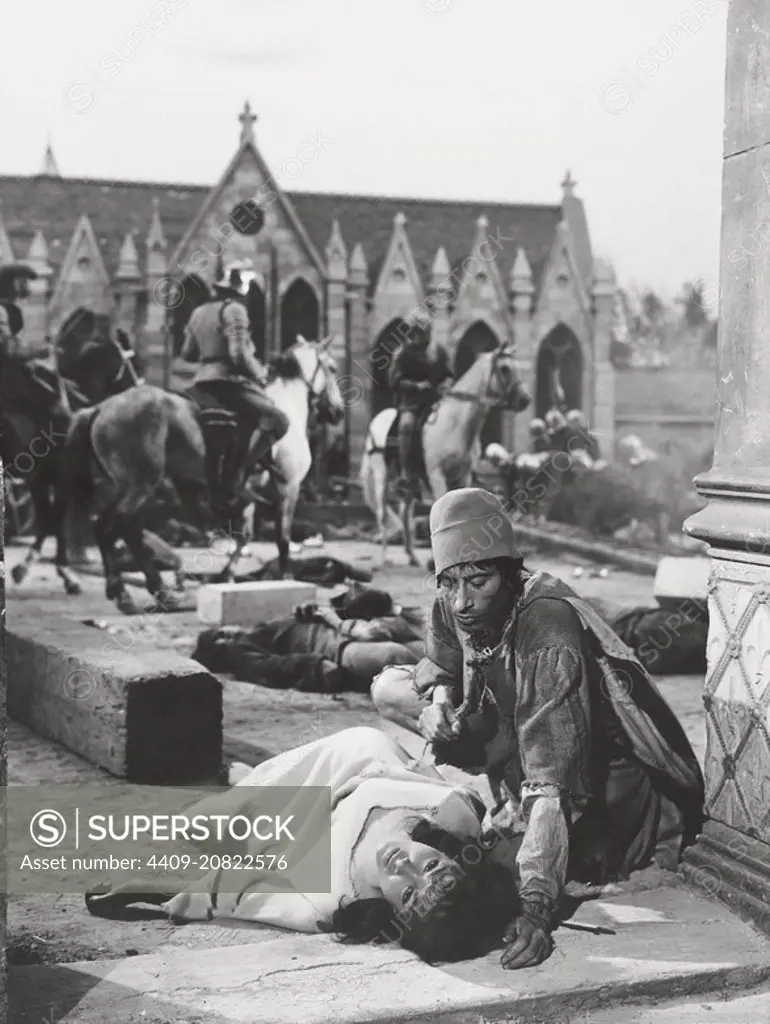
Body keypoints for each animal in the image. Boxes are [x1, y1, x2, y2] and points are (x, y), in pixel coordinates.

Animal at [3, 307, 143, 593]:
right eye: (134, 360)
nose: (140, 388)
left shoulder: (48, 480)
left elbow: (52, 521)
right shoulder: (56, 479)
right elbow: (53, 521)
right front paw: (57, 570)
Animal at [64, 335, 344, 610]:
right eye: (332, 368)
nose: (338, 411)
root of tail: (100, 409)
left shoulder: (249, 495)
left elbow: (245, 536)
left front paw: (226, 576)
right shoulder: (289, 487)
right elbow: (283, 539)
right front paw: (285, 579)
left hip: (123, 485)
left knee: (119, 528)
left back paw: (145, 590)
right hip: (141, 483)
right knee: (114, 525)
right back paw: (133, 591)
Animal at [360, 344, 528, 569]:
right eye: (504, 368)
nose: (525, 399)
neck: (455, 424)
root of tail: (377, 420)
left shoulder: (463, 477)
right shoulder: (436, 475)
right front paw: (436, 561)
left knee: (405, 512)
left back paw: (412, 556)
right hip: (380, 476)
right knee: (382, 513)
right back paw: (383, 559)